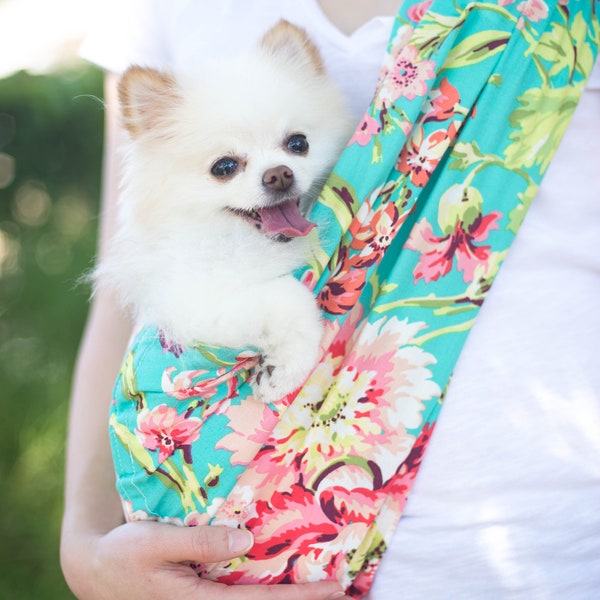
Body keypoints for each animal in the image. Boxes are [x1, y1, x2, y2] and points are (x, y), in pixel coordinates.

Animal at [96, 19, 354, 404]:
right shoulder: (190, 303)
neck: (246, 242)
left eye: (298, 143)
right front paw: (285, 372)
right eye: (224, 167)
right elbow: (288, 297)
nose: (279, 174)